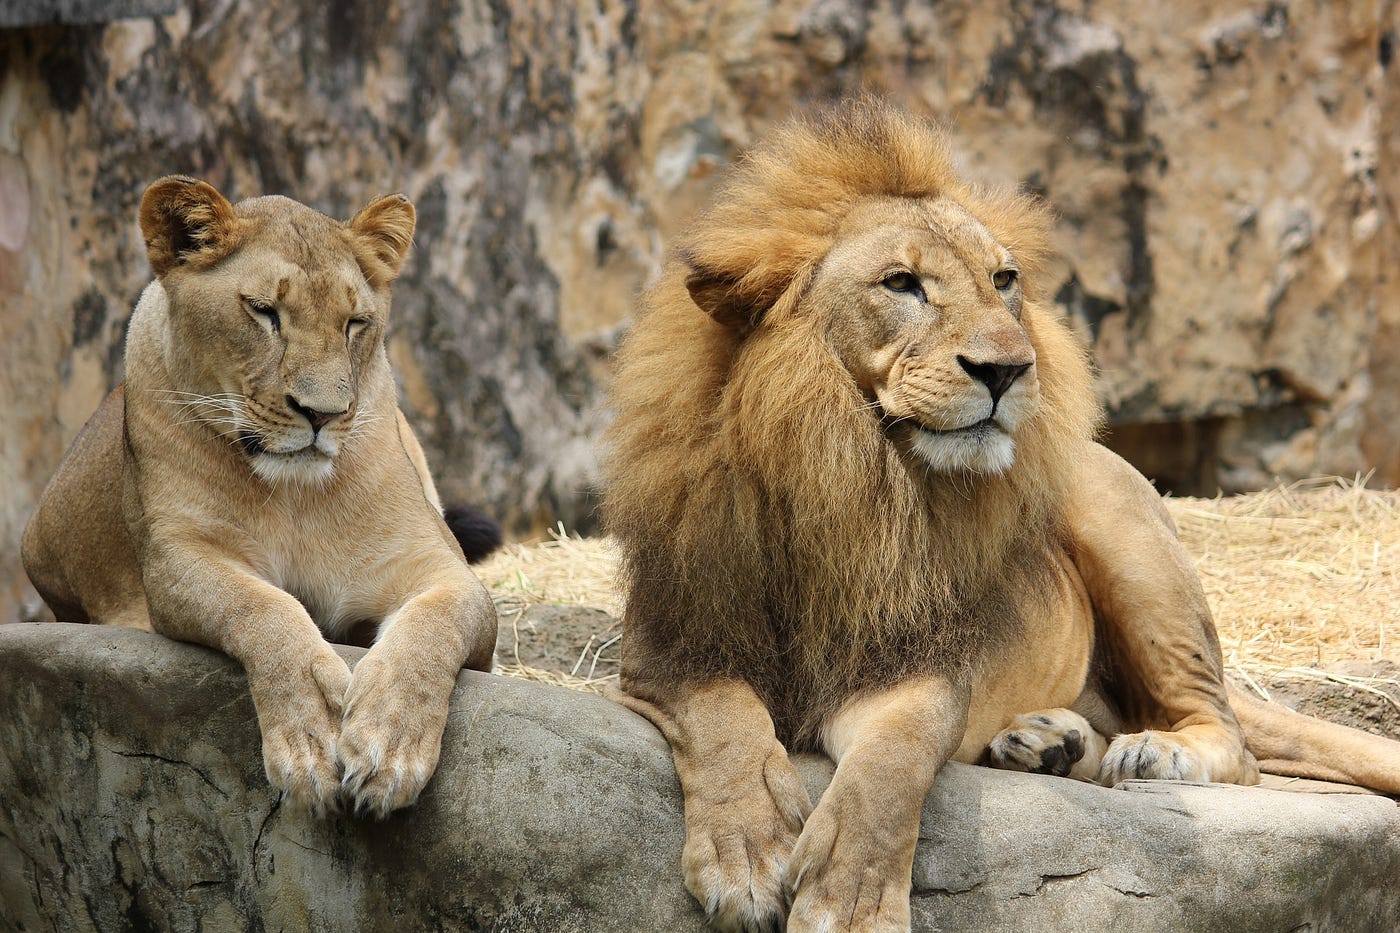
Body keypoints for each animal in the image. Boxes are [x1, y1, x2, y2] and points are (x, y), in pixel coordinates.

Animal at [21, 177, 498, 818]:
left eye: (355, 322)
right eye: (264, 311)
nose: (323, 414)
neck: (293, 496)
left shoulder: (440, 566)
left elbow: (435, 625)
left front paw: (391, 743)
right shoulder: (176, 559)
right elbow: (262, 607)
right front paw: (312, 734)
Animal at [604, 100, 1400, 932]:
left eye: (1003, 280)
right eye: (901, 283)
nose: (1010, 369)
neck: (849, 480)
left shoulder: (919, 665)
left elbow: (886, 773)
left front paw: (849, 903)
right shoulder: (673, 646)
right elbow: (726, 721)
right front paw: (749, 856)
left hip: (1123, 529)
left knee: (1230, 737)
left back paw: (1154, 751)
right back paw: (1049, 742)